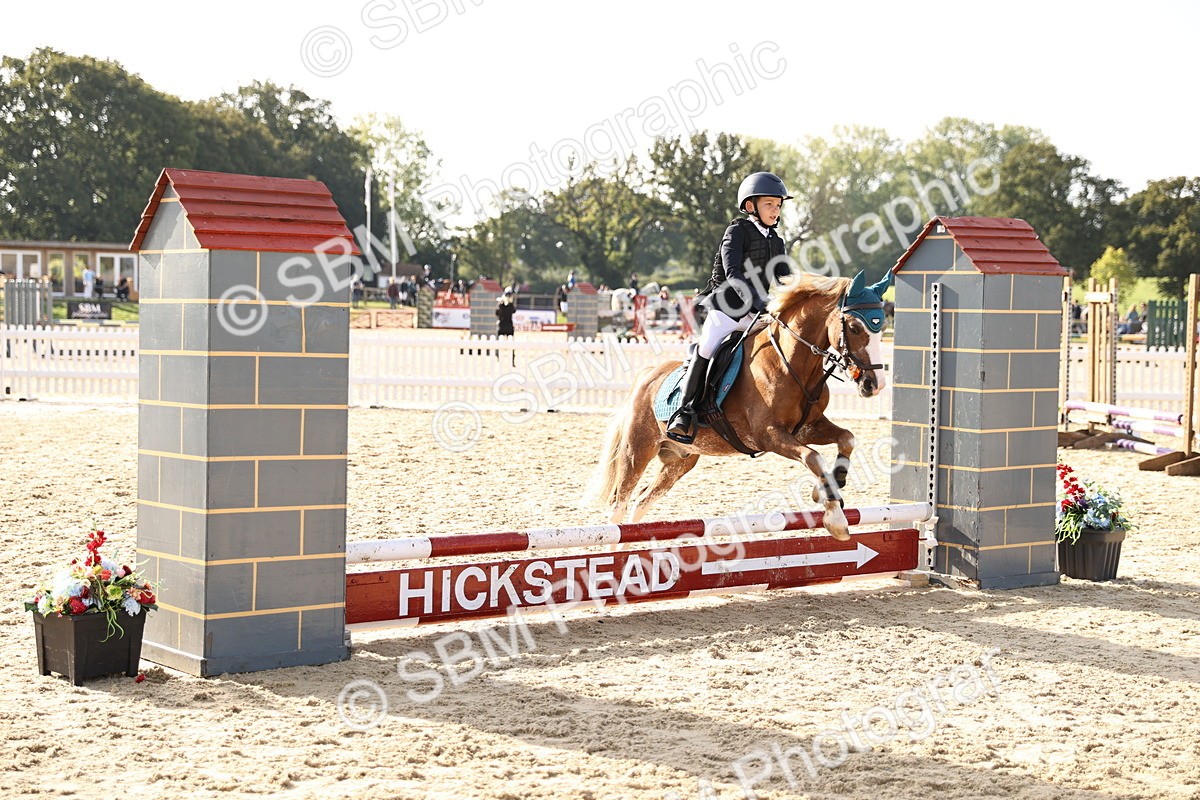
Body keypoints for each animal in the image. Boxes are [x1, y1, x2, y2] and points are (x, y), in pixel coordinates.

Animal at [586, 271, 891, 540]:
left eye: (881, 328)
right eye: (854, 327)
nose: (874, 384)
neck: (791, 362)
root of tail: (647, 375)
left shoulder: (808, 428)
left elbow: (847, 439)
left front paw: (830, 486)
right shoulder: (769, 435)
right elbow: (813, 457)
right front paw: (835, 517)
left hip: (680, 460)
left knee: (641, 502)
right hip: (637, 451)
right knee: (620, 504)